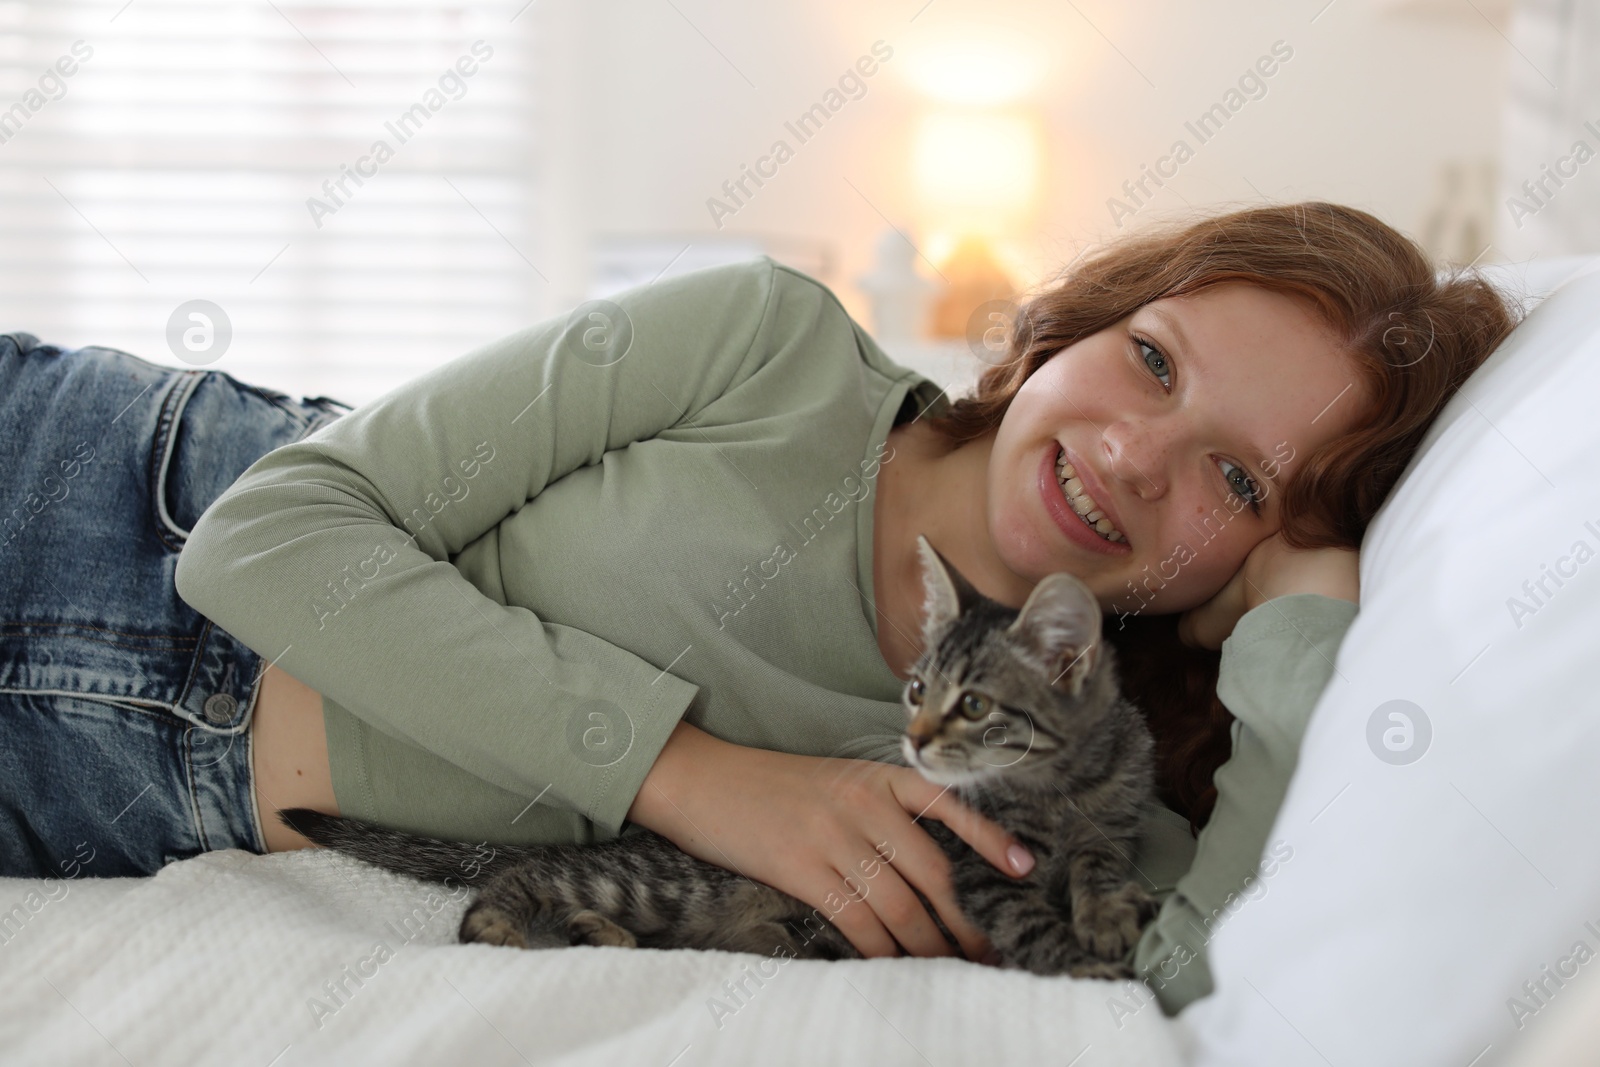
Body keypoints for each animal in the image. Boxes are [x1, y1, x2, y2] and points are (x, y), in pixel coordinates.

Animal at [288, 534, 1158, 979]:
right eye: (917, 689)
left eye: (973, 704)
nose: (914, 739)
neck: (1058, 786)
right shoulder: (975, 864)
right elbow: (1028, 917)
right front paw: (1091, 965)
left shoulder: (1115, 816)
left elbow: (1101, 860)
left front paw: (1109, 914)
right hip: (661, 881)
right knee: (518, 877)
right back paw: (510, 925)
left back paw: (600, 935)